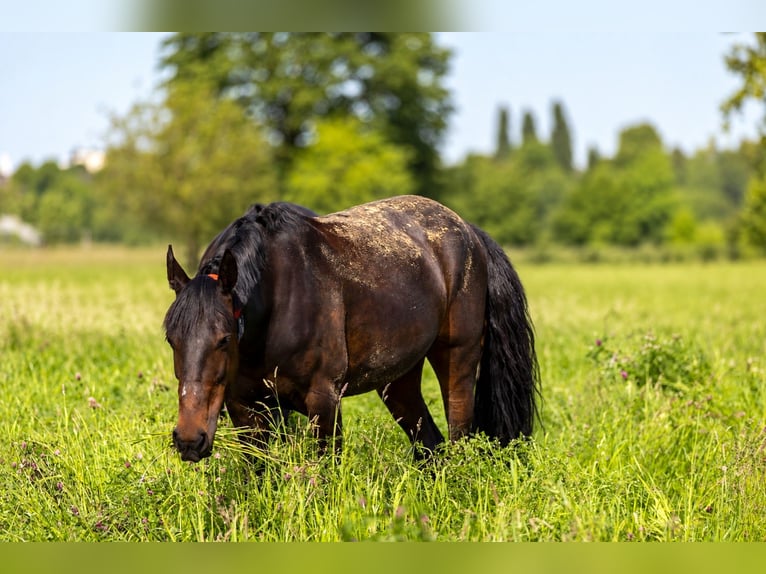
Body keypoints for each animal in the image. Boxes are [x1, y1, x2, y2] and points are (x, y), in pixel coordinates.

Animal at [164, 195, 539, 463]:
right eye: (171, 340)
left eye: (224, 338)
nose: (189, 439)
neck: (276, 298)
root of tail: (468, 231)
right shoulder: (244, 406)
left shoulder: (324, 401)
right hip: (397, 380)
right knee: (430, 444)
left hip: (458, 360)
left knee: (460, 436)